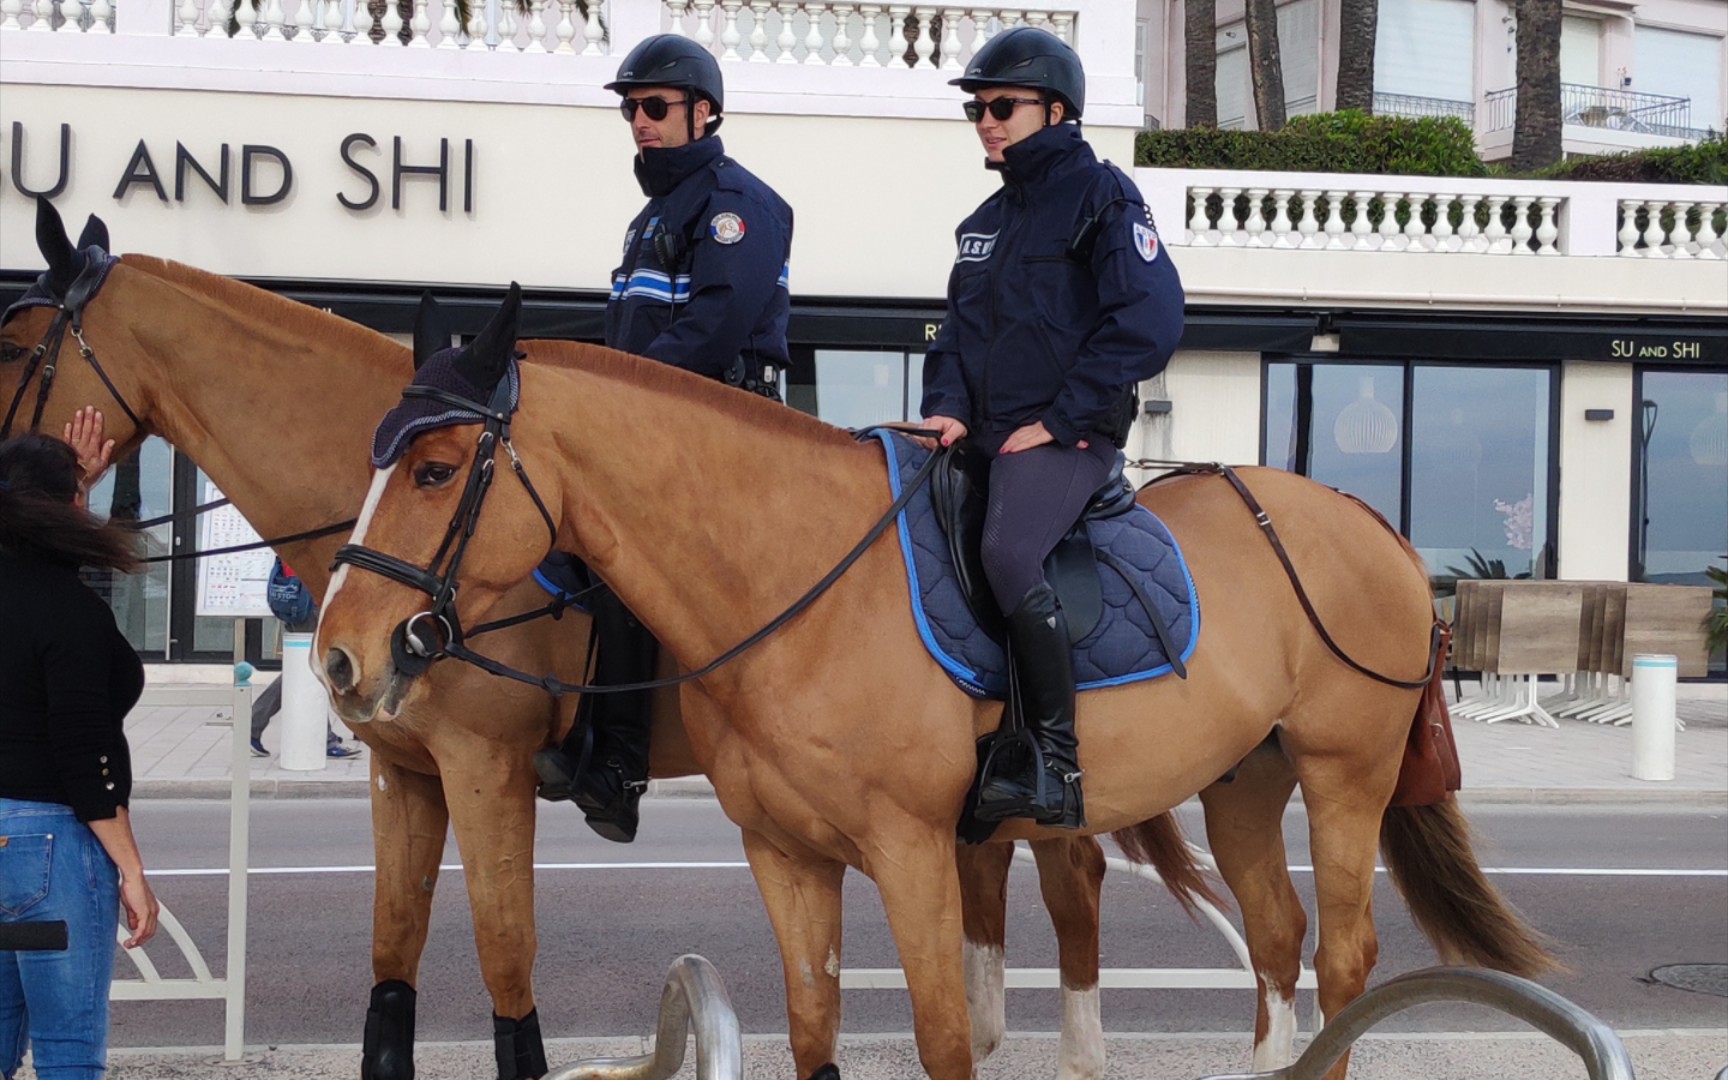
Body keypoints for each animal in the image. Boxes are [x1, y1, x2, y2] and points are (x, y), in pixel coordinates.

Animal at [0, 203, 1216, 1078]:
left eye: (13, 342)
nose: (342, 656)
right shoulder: (404, 774)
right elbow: (392, 962)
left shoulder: (484, 769)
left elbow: (505, 965)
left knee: (1073, 878)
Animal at [317, 288, 1562, 1078]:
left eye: (435, 470)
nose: (337, 652)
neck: (795, 578)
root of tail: (1373, 523)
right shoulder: (788, 855)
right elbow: (813, 1027)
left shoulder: (916, 852)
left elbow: (946, 1036)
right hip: (1244, 782)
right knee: (1276, 936)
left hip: (1345, 776)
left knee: (1343, 956)